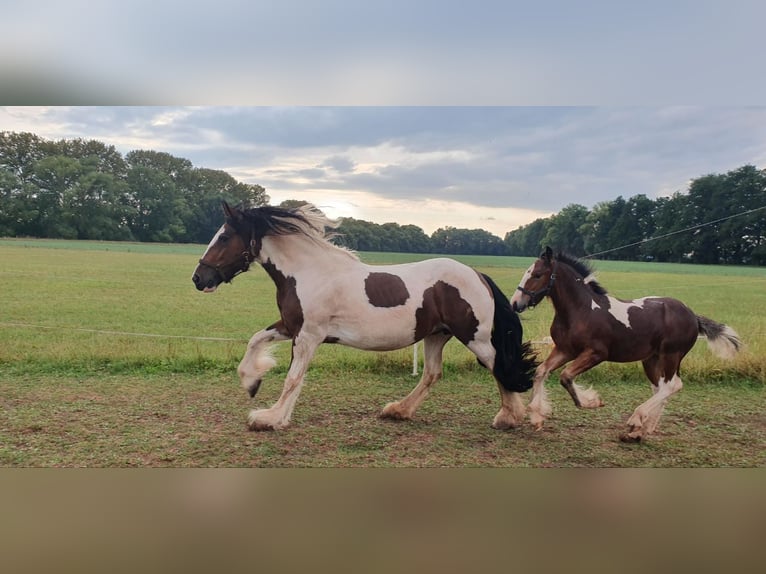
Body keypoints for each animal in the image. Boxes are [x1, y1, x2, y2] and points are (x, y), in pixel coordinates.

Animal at [195, 202, 536, 432]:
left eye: (224, 237)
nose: (199, 278)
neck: (309, 273)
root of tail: (478, 275)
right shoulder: (292, 327)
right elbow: (256, 341)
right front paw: (252, 382)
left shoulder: (308, 335)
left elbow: (293, 378)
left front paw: (269, 418)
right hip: (436, 335)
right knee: (432, 373)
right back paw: (398, 410)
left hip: (474, 337)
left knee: (497, 365)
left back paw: (509, 417)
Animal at [510, 249, 744, 446]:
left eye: (537, 274)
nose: (515, 303)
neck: (582, 310)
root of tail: (693, 316)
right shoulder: (565, 350)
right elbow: (541, 371)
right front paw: (537, 417)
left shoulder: (596, 353)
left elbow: (566, 376)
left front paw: (592, 401)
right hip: (651, 359)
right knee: (660, 387)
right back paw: (639, 431)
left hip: (671, 354)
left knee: (672, 385)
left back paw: (636, 420)